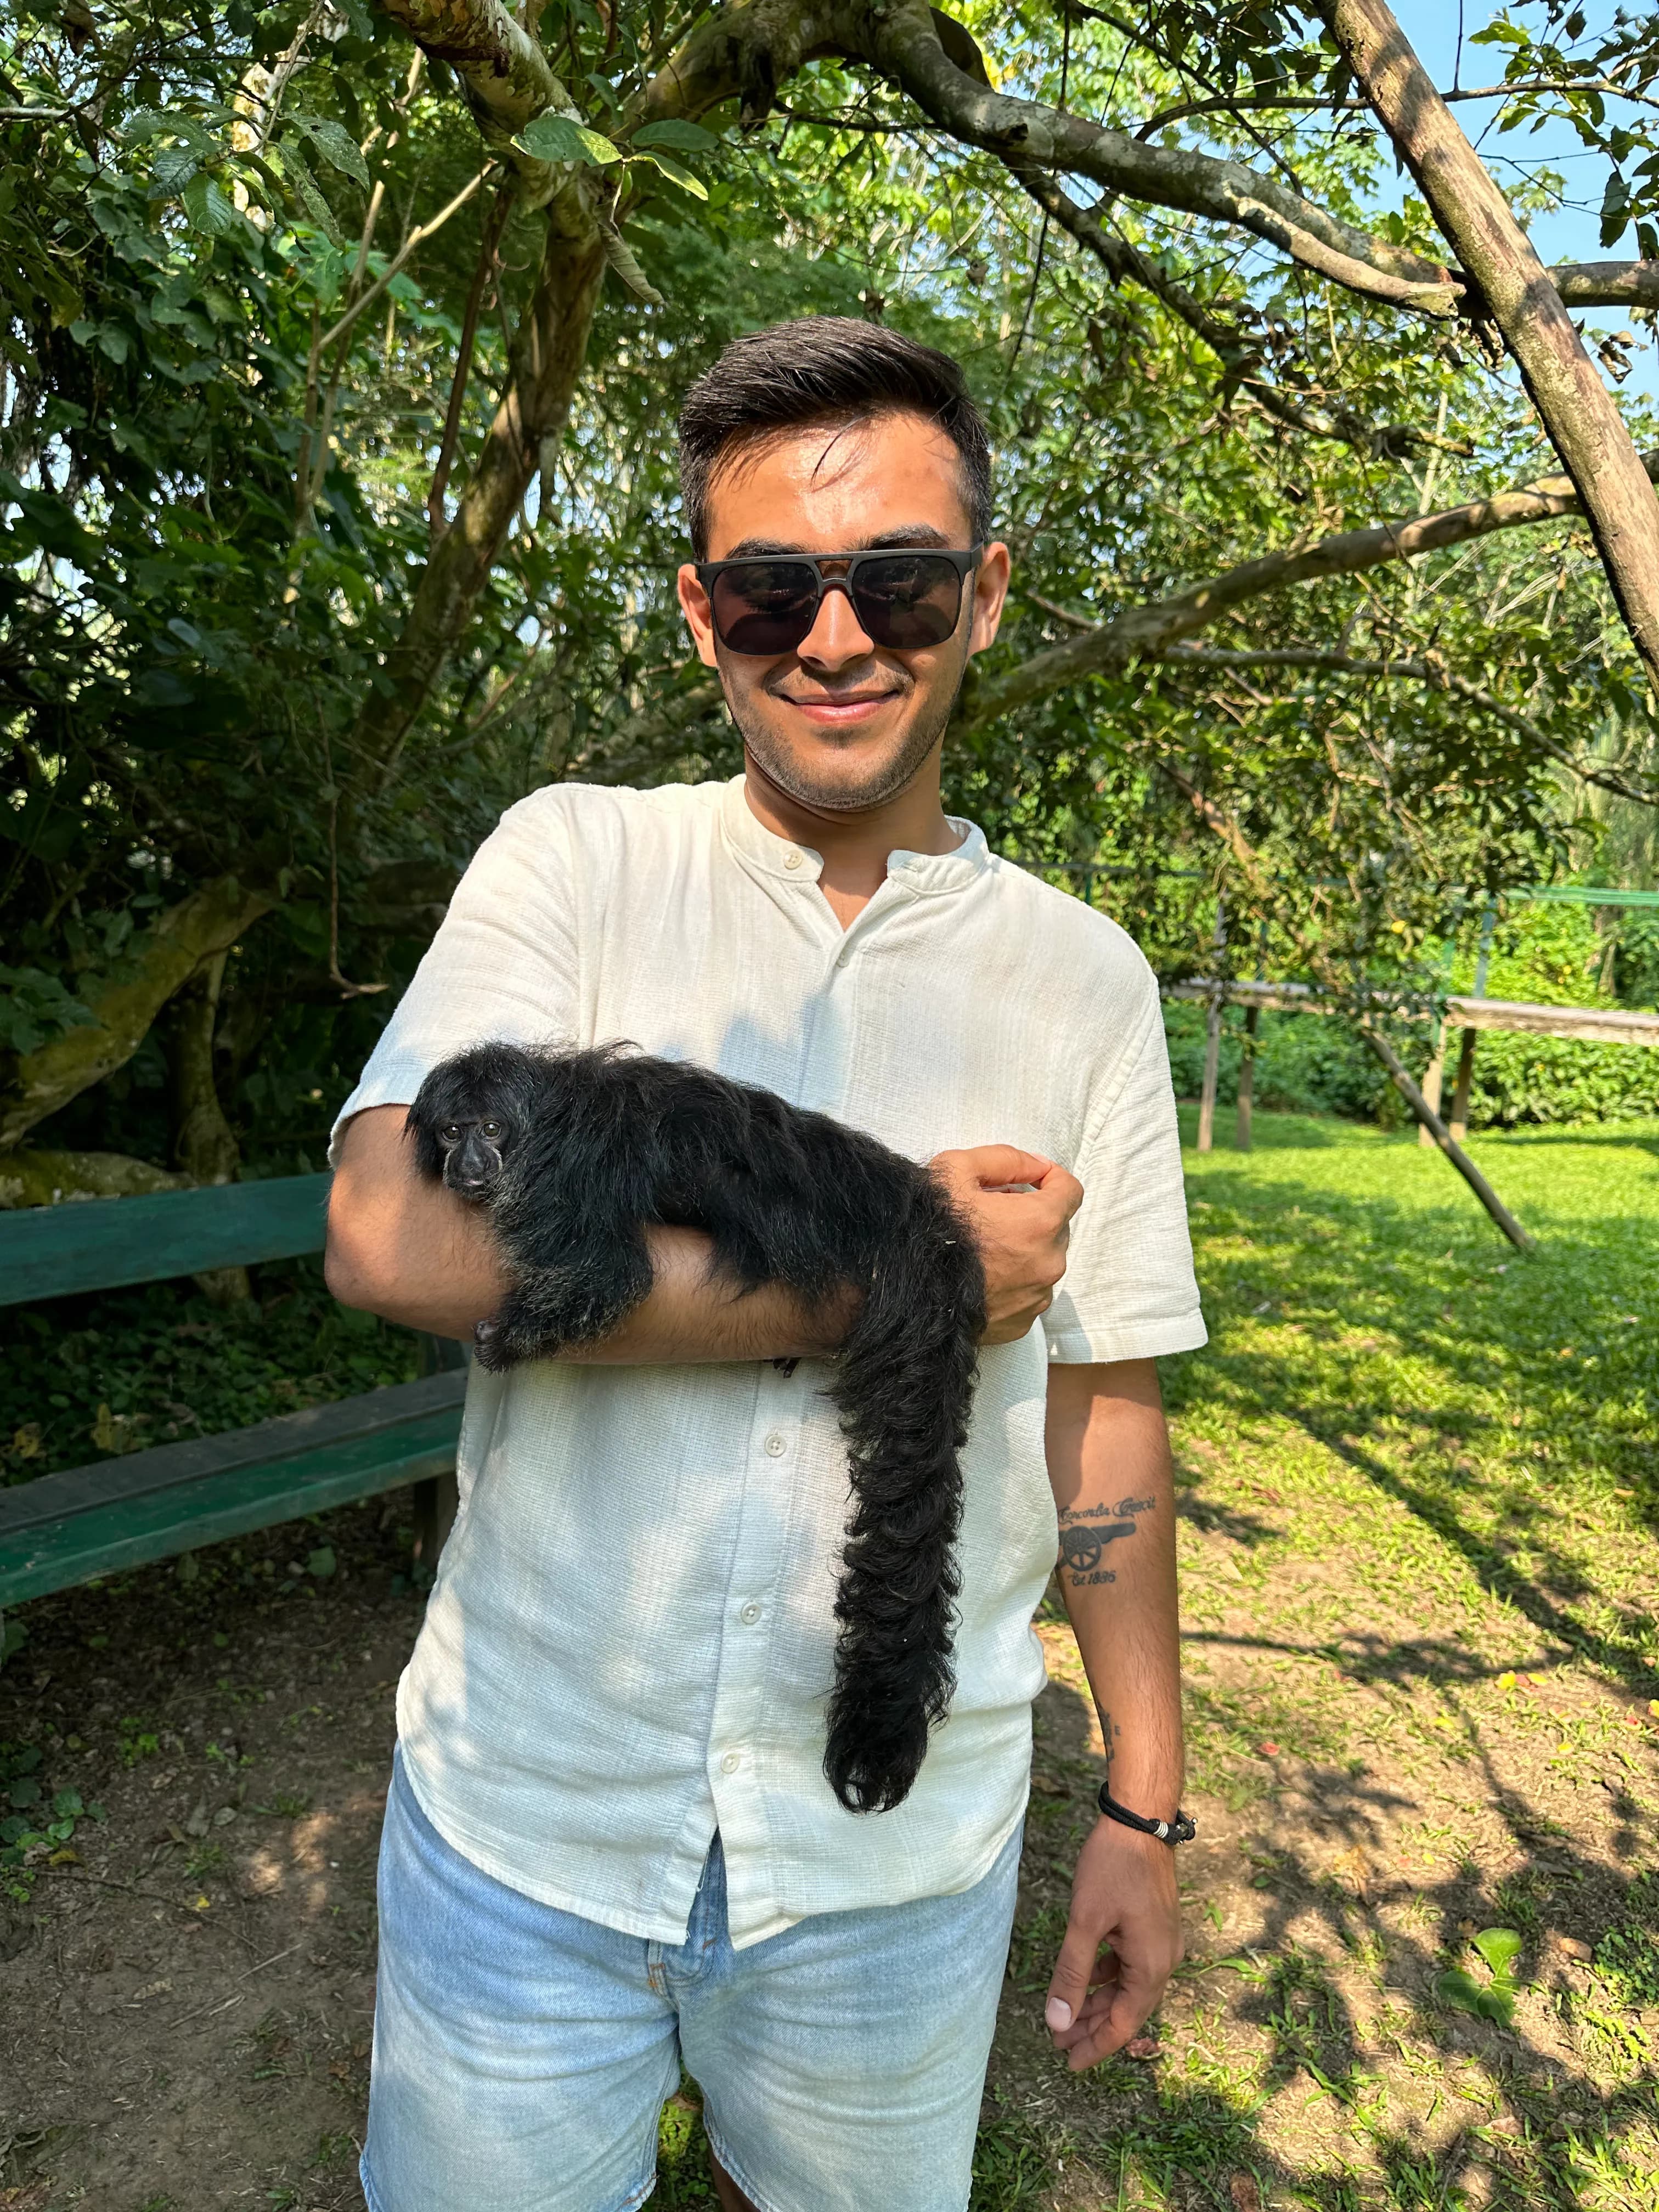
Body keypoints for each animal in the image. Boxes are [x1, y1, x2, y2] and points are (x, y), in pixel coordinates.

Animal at [405, 1040, 987, 1817]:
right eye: (451, 1132)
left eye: (491, 1131)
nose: (467, 1164)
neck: (550, 1114)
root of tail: (911, 1207)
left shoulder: (560, 1182)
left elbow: (609, 1277)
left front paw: (509, 1339)